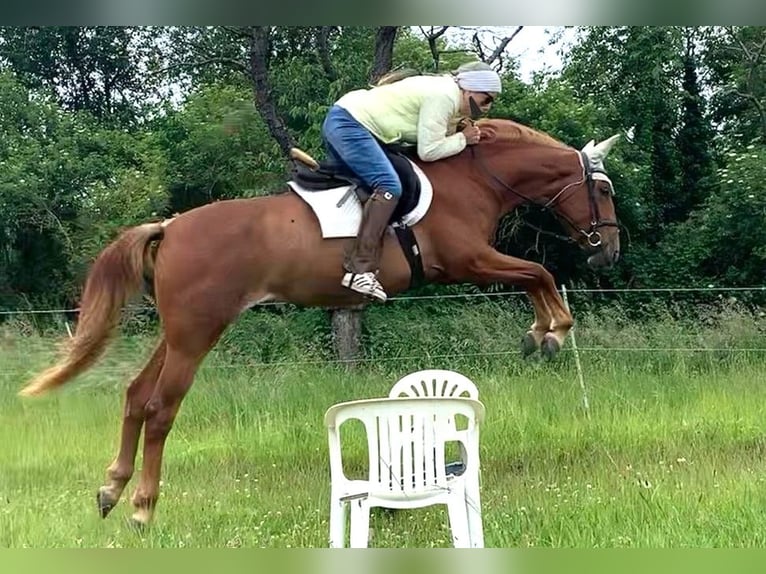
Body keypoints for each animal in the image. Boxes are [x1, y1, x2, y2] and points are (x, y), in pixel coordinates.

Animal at [18, 119, 620, 528]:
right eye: (604, 190)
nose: (608, 251)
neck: (473, 178)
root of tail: (169, 227)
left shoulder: (474, 263)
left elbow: (536, 275)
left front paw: (544, 332)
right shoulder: (469, 261)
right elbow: (539, 272)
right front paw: (550, 331)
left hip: (178, 333)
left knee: (136, 396)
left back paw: (111, 490)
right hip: (197, 334)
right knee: (162, 409)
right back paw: (143, 508)